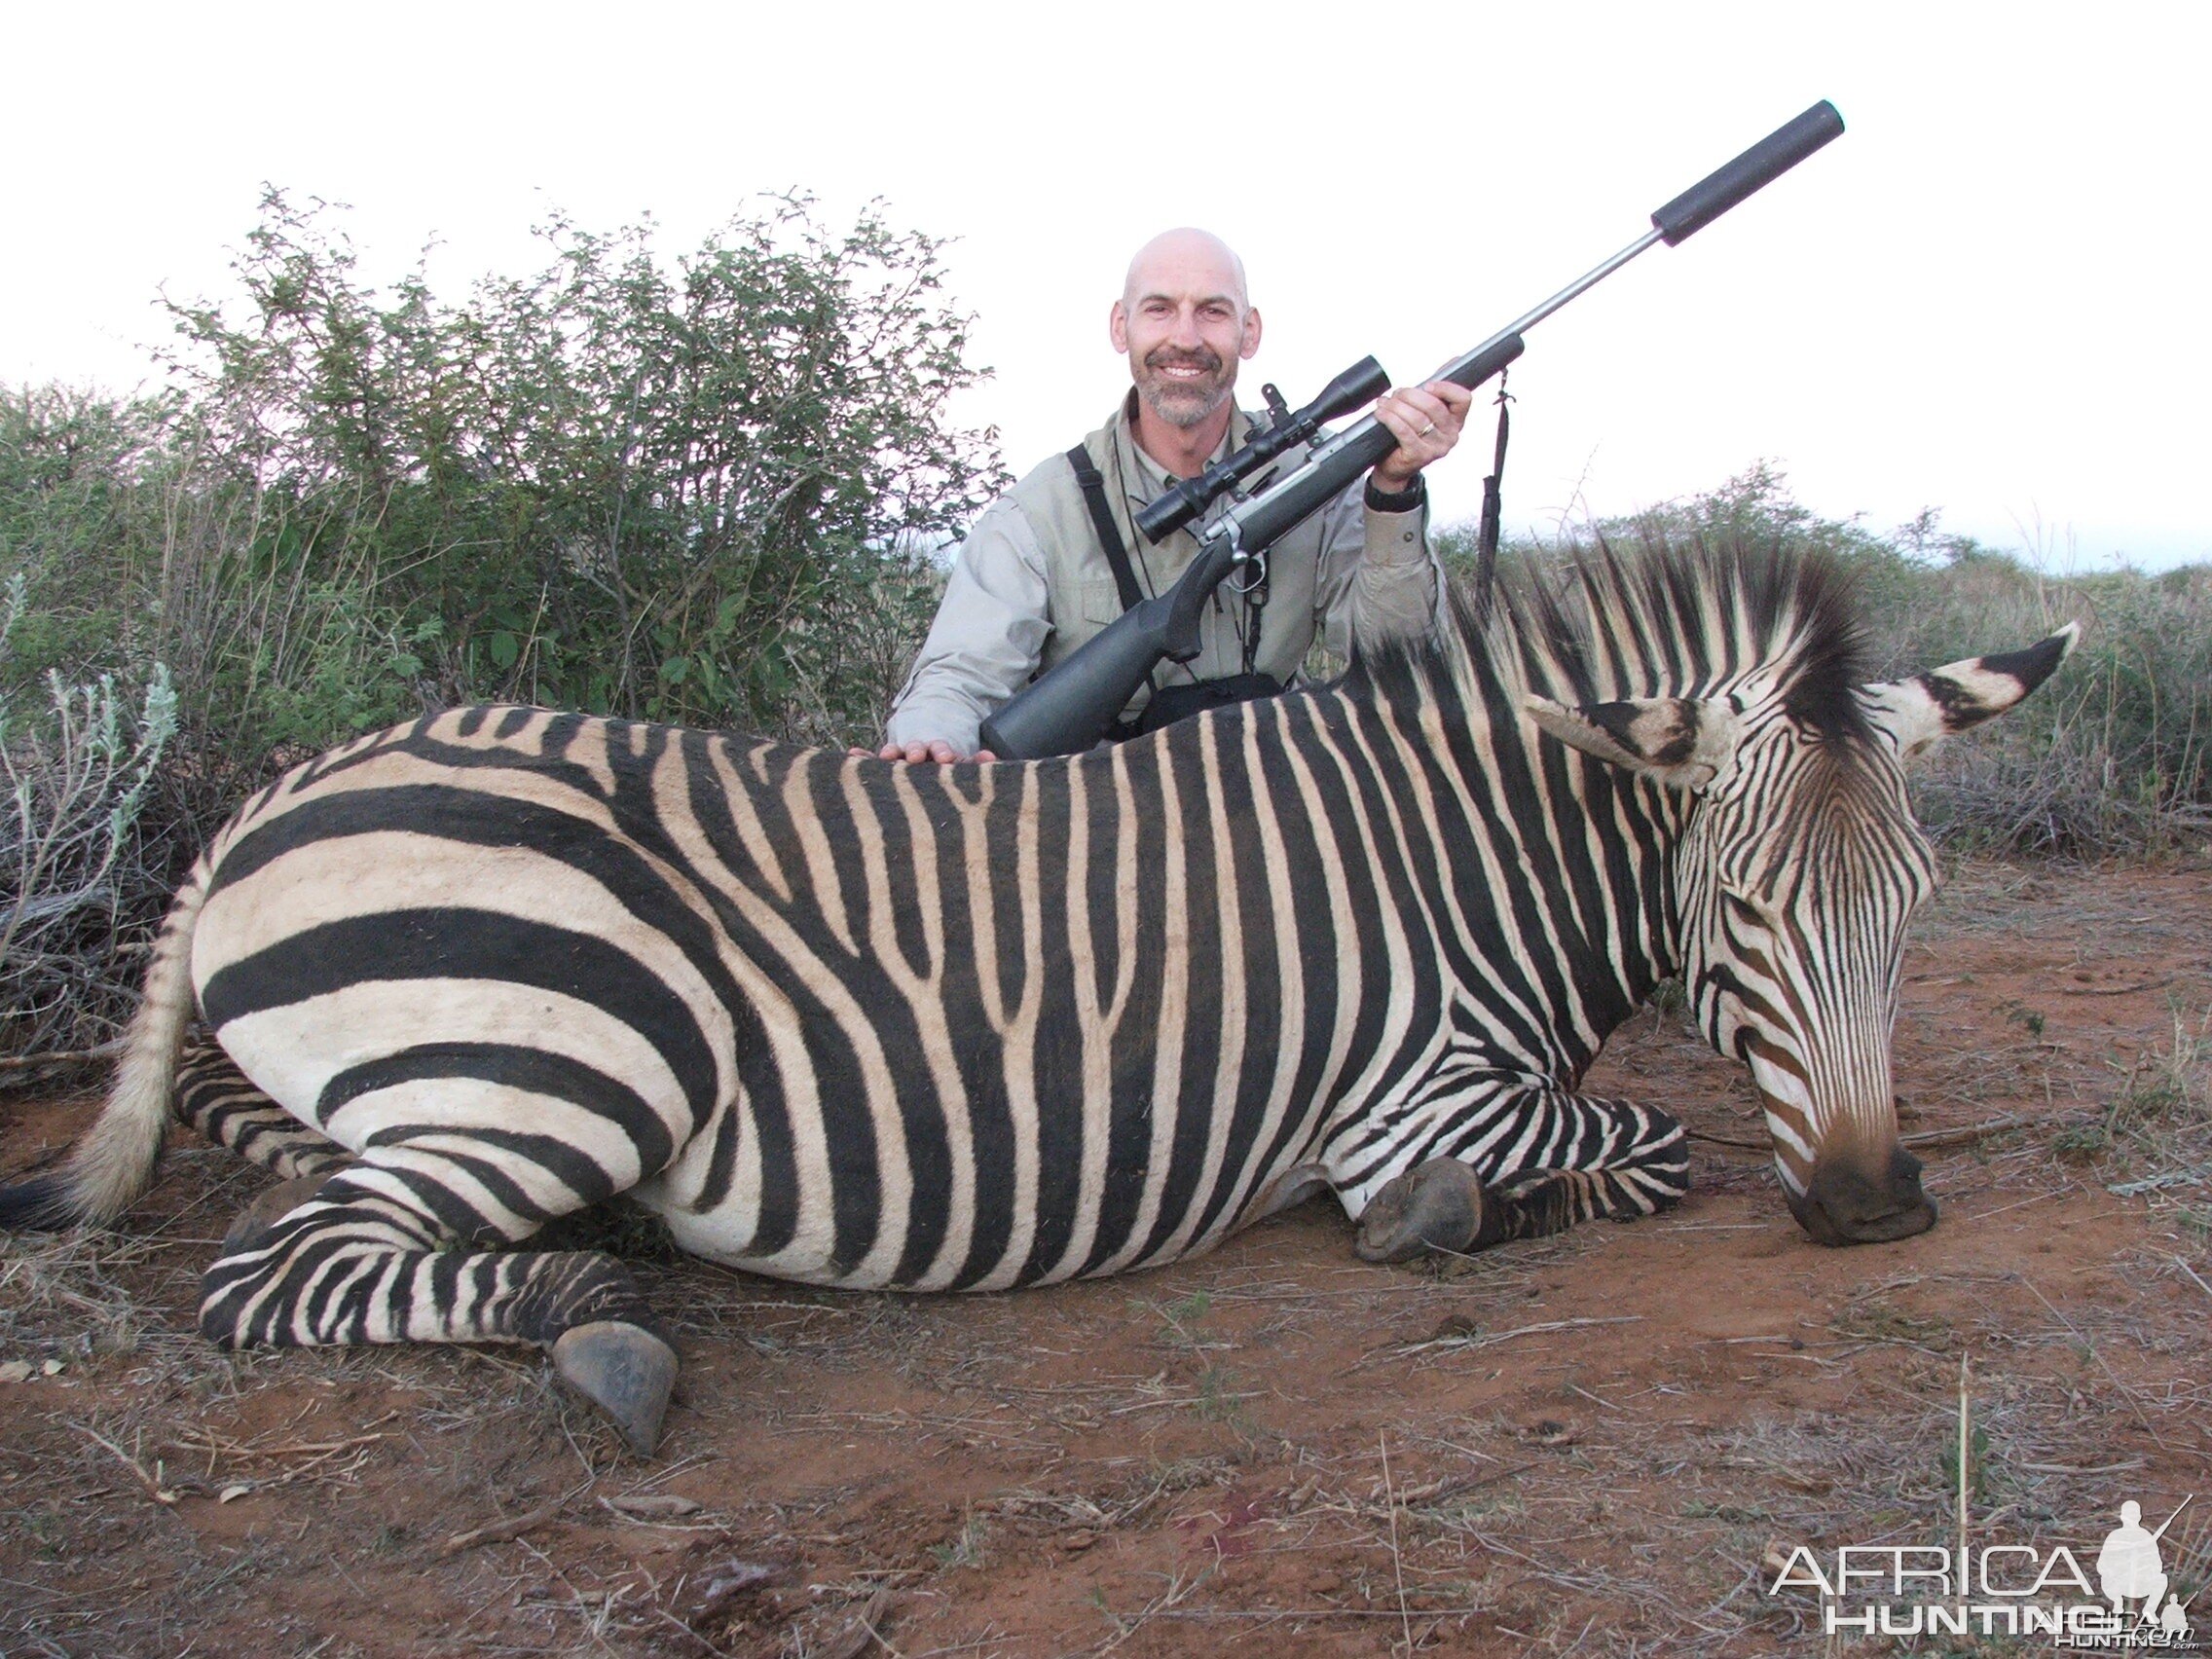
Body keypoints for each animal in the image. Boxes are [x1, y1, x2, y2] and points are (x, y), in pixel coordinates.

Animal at [0, 535, 2070, 1451]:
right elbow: (1638, 1142)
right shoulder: (1422, 1085)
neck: (1471, 844)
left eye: (1917, 906)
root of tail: (278, 786)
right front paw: (1428, 1221)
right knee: (271, 1273)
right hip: (562, 1060)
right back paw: (600, 1315)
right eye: (1740, 907)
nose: (1879, 1209)